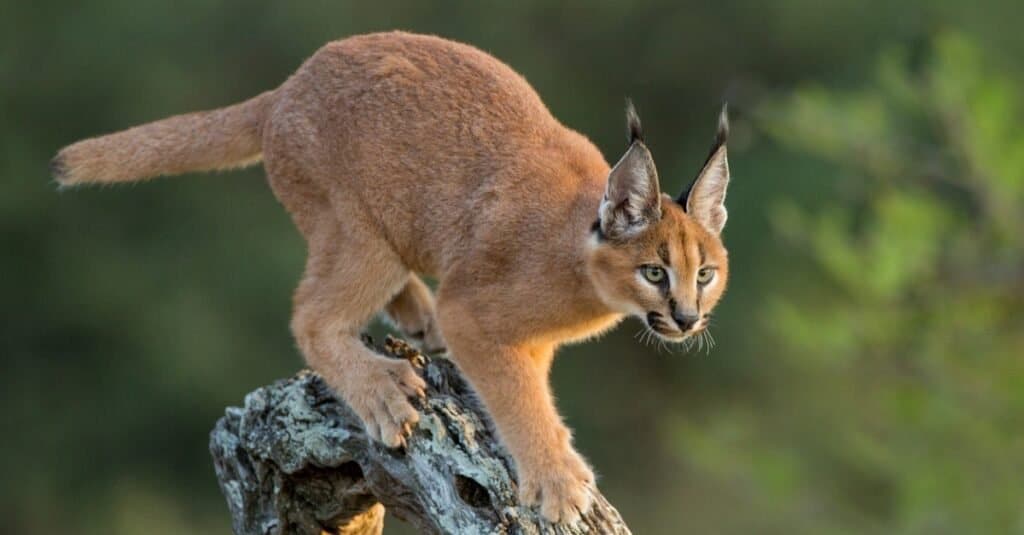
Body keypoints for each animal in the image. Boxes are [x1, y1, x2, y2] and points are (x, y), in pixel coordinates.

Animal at [54, 31, 729, 522]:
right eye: (654, 271)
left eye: (706, 275)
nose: (687, 318)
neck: (580, 259)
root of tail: (285, 88)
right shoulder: (474, 311)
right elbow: (516, 397)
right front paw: (558, 481)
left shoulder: (528, 342)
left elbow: (530, 389)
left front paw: (558, 457)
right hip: (360, 233)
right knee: (310, 314)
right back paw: (380, 386)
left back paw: (417, 318)